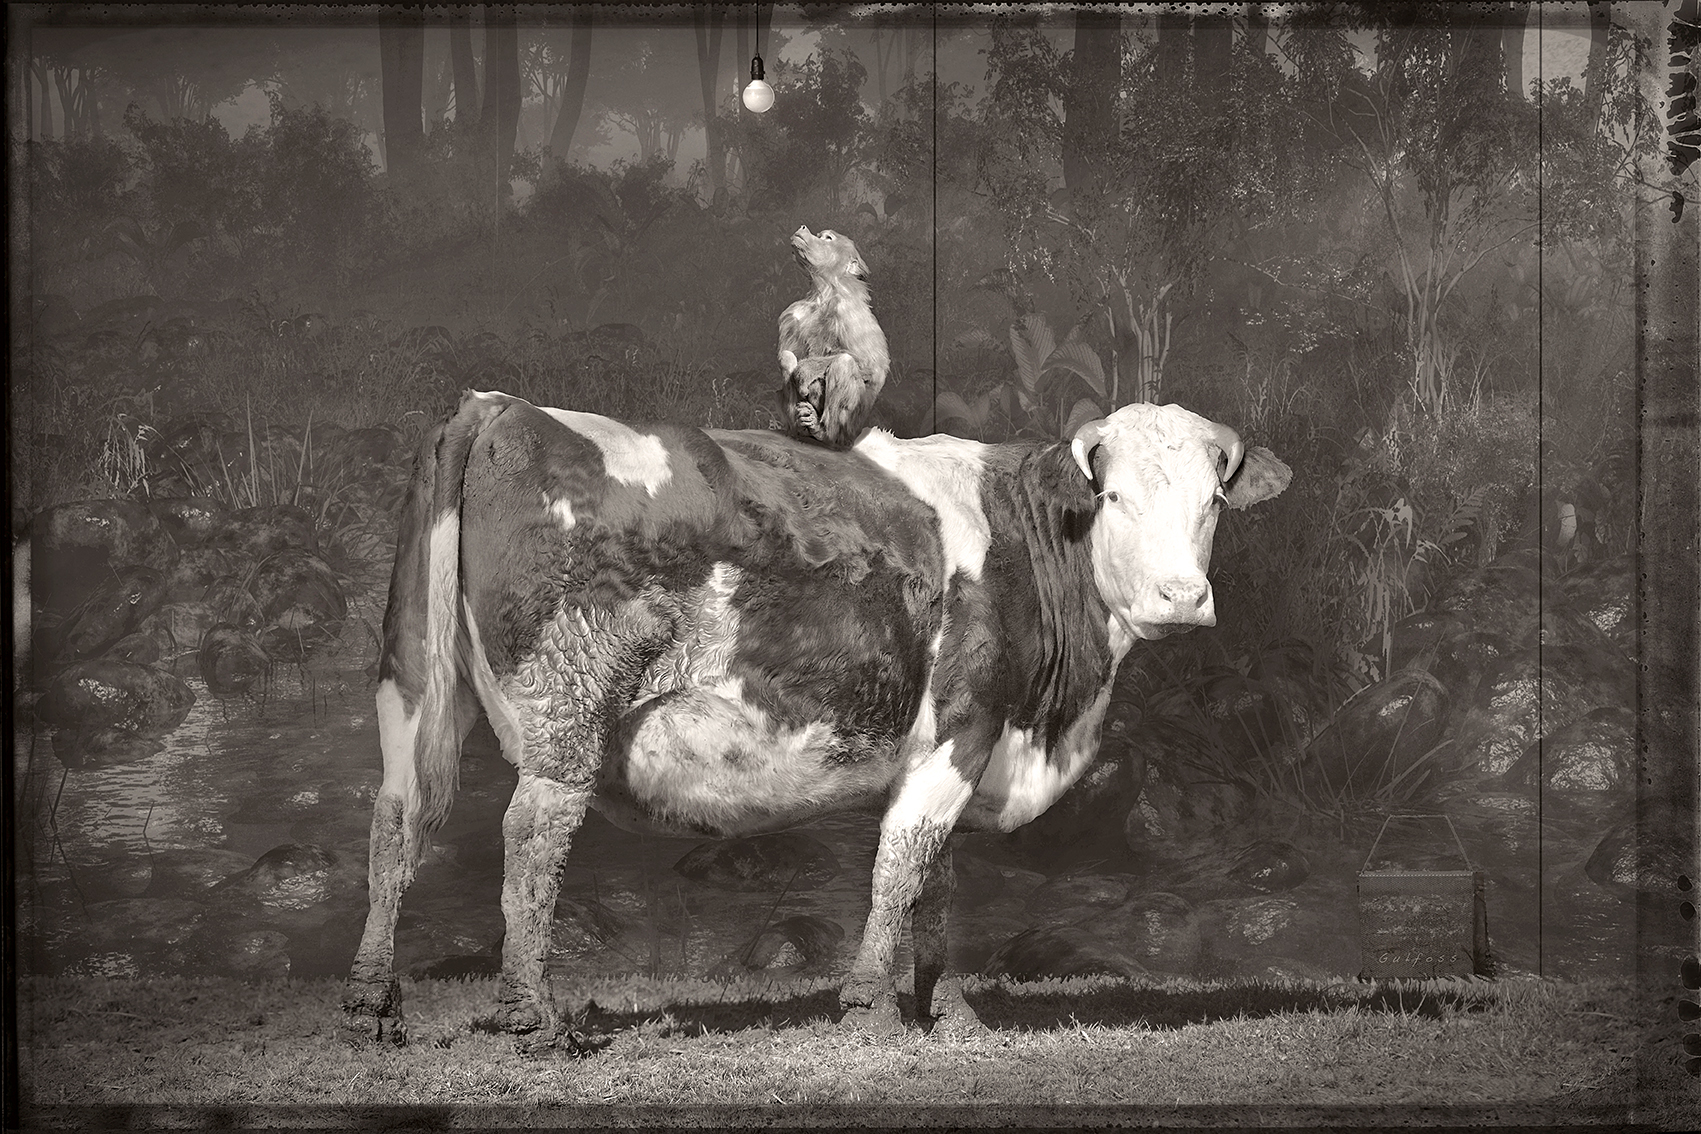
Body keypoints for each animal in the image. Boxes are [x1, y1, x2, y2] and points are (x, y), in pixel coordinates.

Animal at [343, 389, 1291, 1045]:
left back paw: (370, 1006)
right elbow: (903, 867)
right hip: (569, 706)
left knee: (396, 821)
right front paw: (870, 1009)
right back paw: (531, 1015)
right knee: (532, 835)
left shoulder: (950, 747)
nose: (1181, 597)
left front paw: (947, 1012)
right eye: (1113, 499)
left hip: (412, 684)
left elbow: (937, 882)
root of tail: (507, 406)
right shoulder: (963, 721)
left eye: (1210, 502)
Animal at [775, 225, 889, 448]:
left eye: (827, 238)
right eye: (820, 236)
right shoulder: (795, 314)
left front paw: (805, 371)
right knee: (787, 357)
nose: (803, 228)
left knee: (843, 363)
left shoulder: (848, 312)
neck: (824, 294)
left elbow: (873, 366)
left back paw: (824, 433)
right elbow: (789, 354)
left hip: (850, 428)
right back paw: (799, 426)